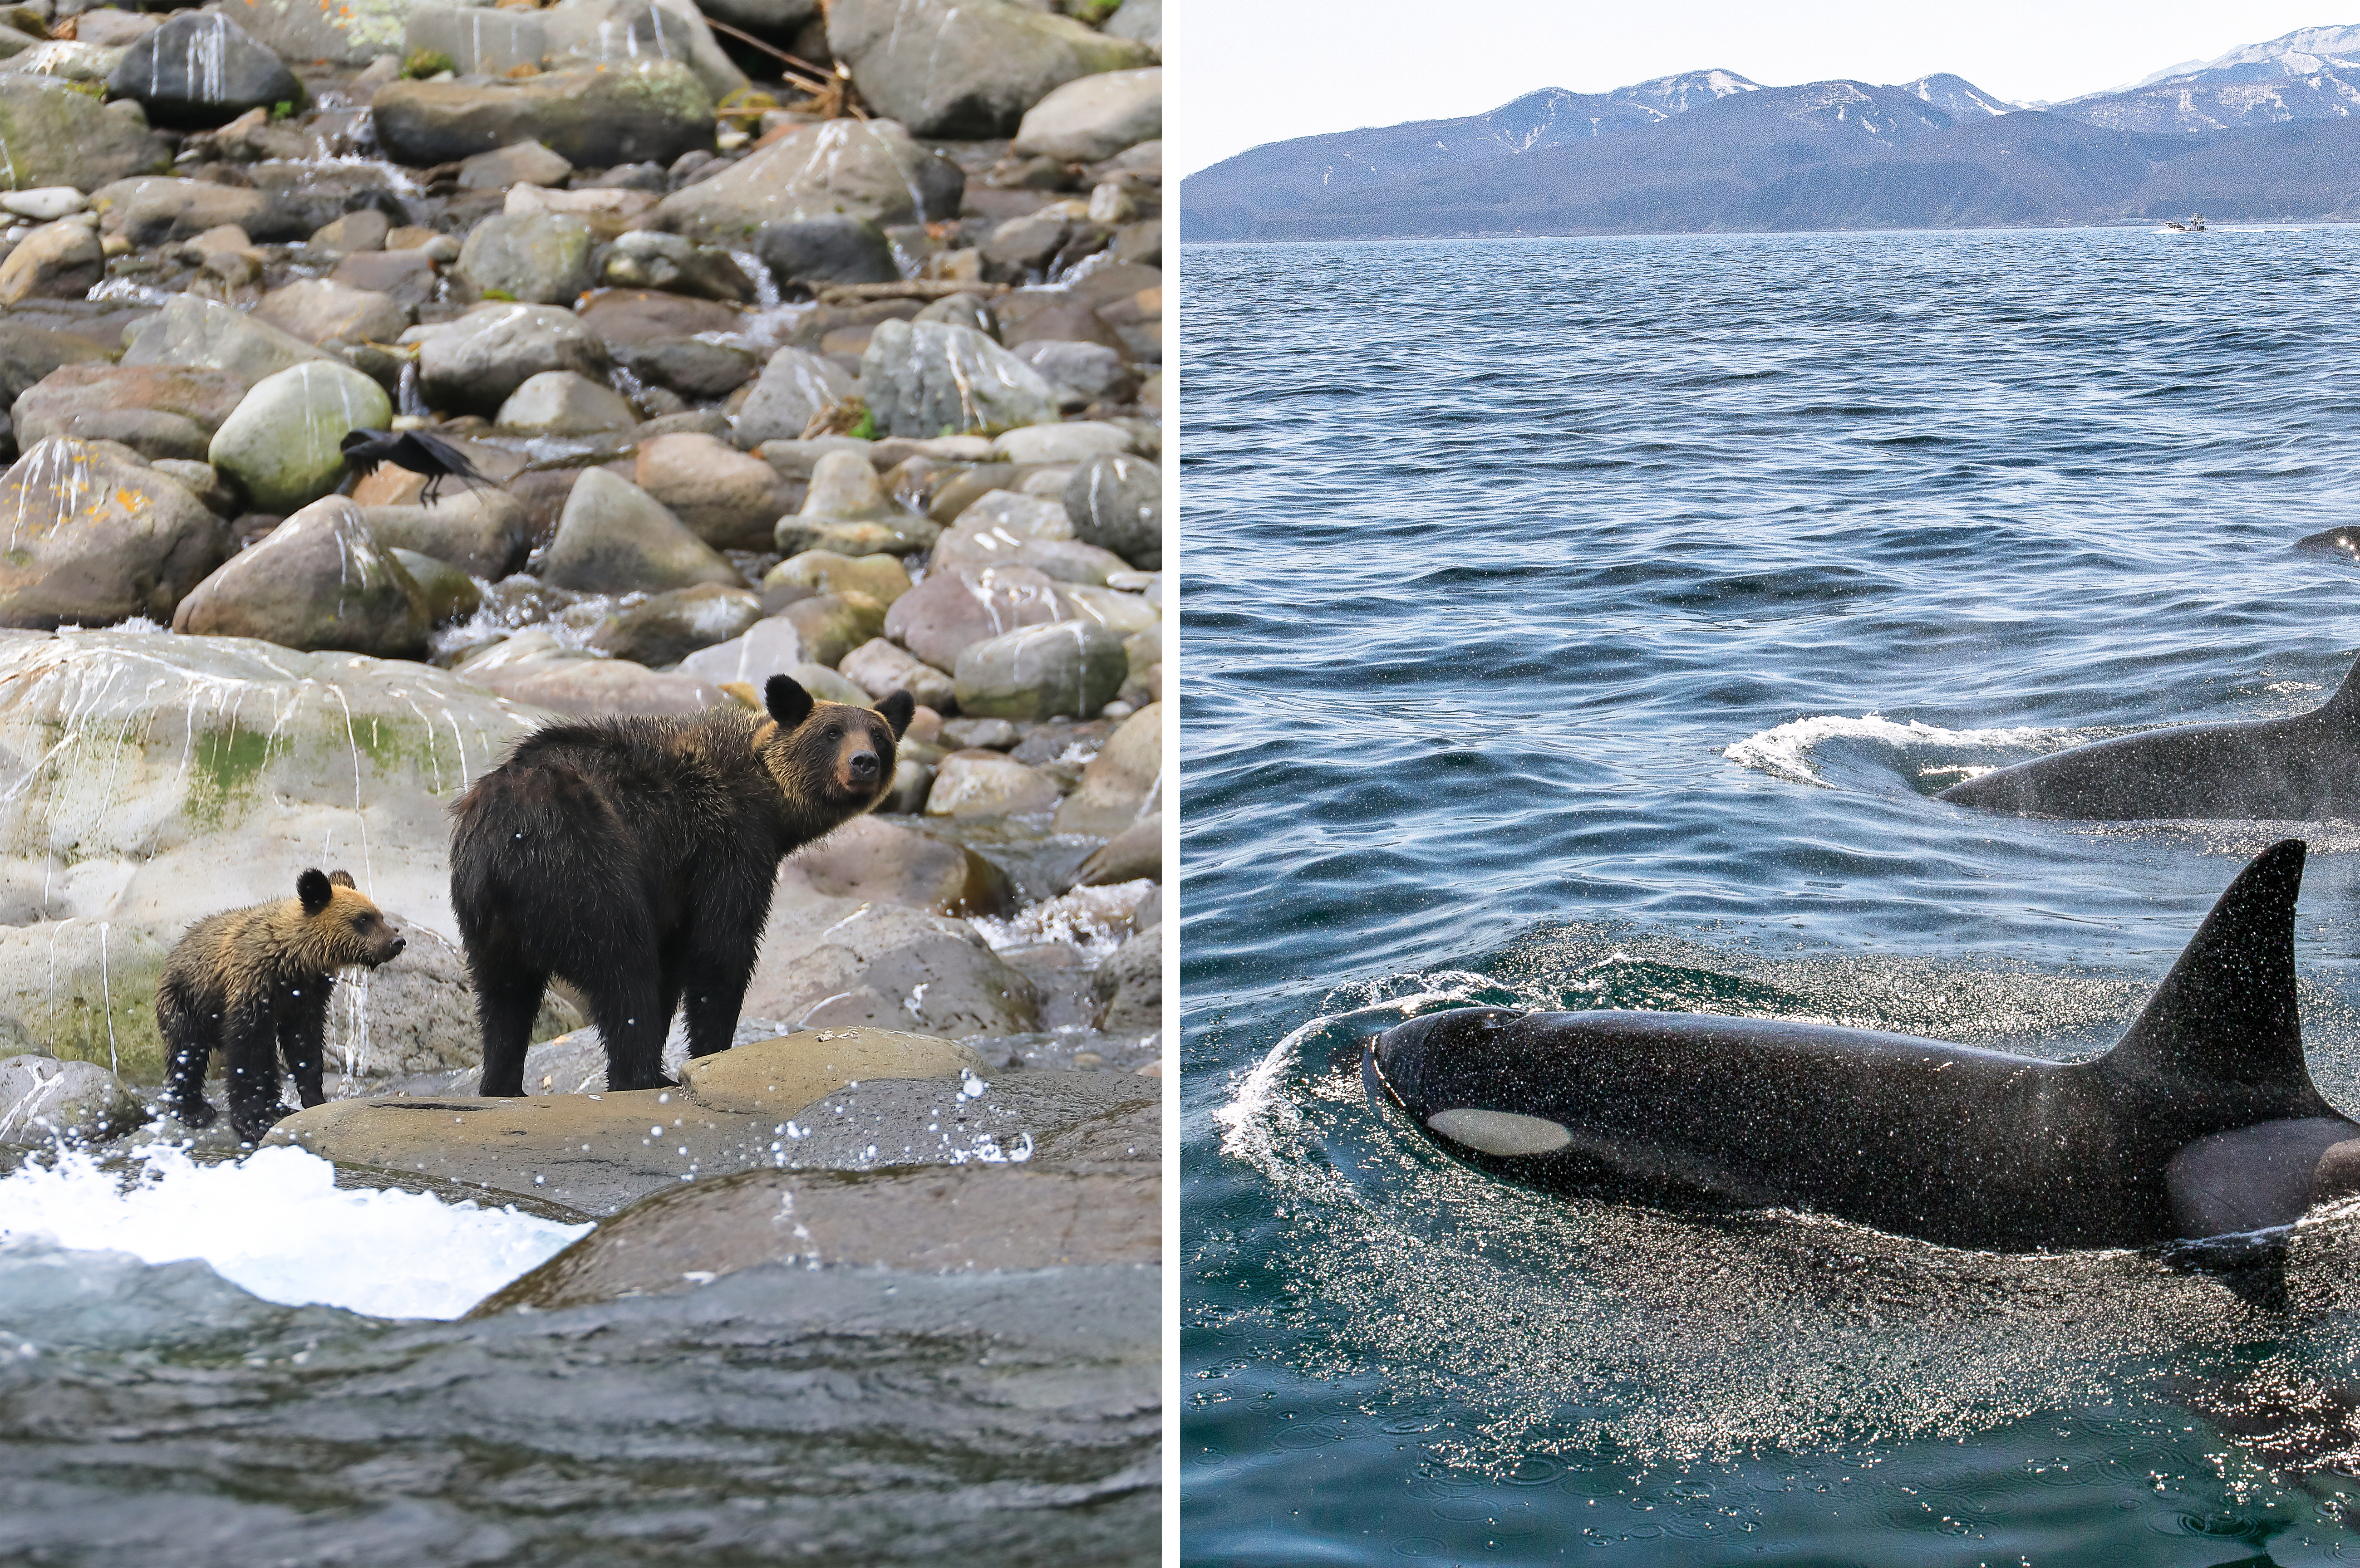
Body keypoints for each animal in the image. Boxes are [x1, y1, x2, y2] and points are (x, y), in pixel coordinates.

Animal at [154, 867, 408, 1136]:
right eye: (362, 919)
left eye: (379, 915)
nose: (397, 942)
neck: (294, 960)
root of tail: (177, 949)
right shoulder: (252, 991)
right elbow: (246, 1054)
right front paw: (252, 1120)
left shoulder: (305, 998)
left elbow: (304, 1045)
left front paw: (314, 1100)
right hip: (187, 1002)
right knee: (187, 1051)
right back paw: (193, 1110)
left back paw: (278, 1106)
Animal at [446, 665, 915, 1094]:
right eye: (832, 733)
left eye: (878, 735)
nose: (863, 762)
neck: (771, 805)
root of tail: (500, 840)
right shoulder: (724, 848)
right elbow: (721, 951)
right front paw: (713, 1050)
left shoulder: (677, 889)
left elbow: (674, 968)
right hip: (583, 864)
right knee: (623, 969)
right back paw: (642, 1077)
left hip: (488, 920)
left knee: (504, 999)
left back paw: (503, 1083)